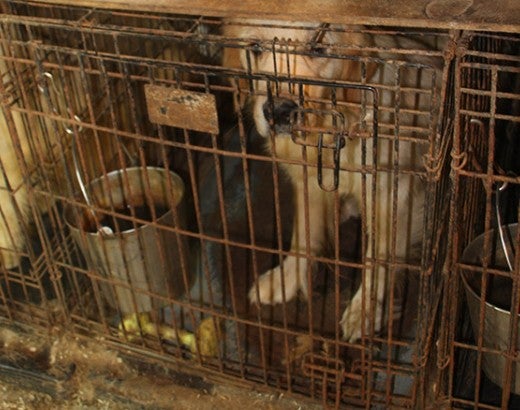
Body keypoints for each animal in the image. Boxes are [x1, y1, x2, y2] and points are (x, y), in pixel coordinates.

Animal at [221, 19, 444, 342]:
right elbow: (302, 238)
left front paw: (364, 312)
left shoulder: (394, 193)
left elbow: (378, 262)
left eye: (318, 48)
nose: (279, 112)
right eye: (256, 47)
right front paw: (285, 281)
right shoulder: (307, 183)